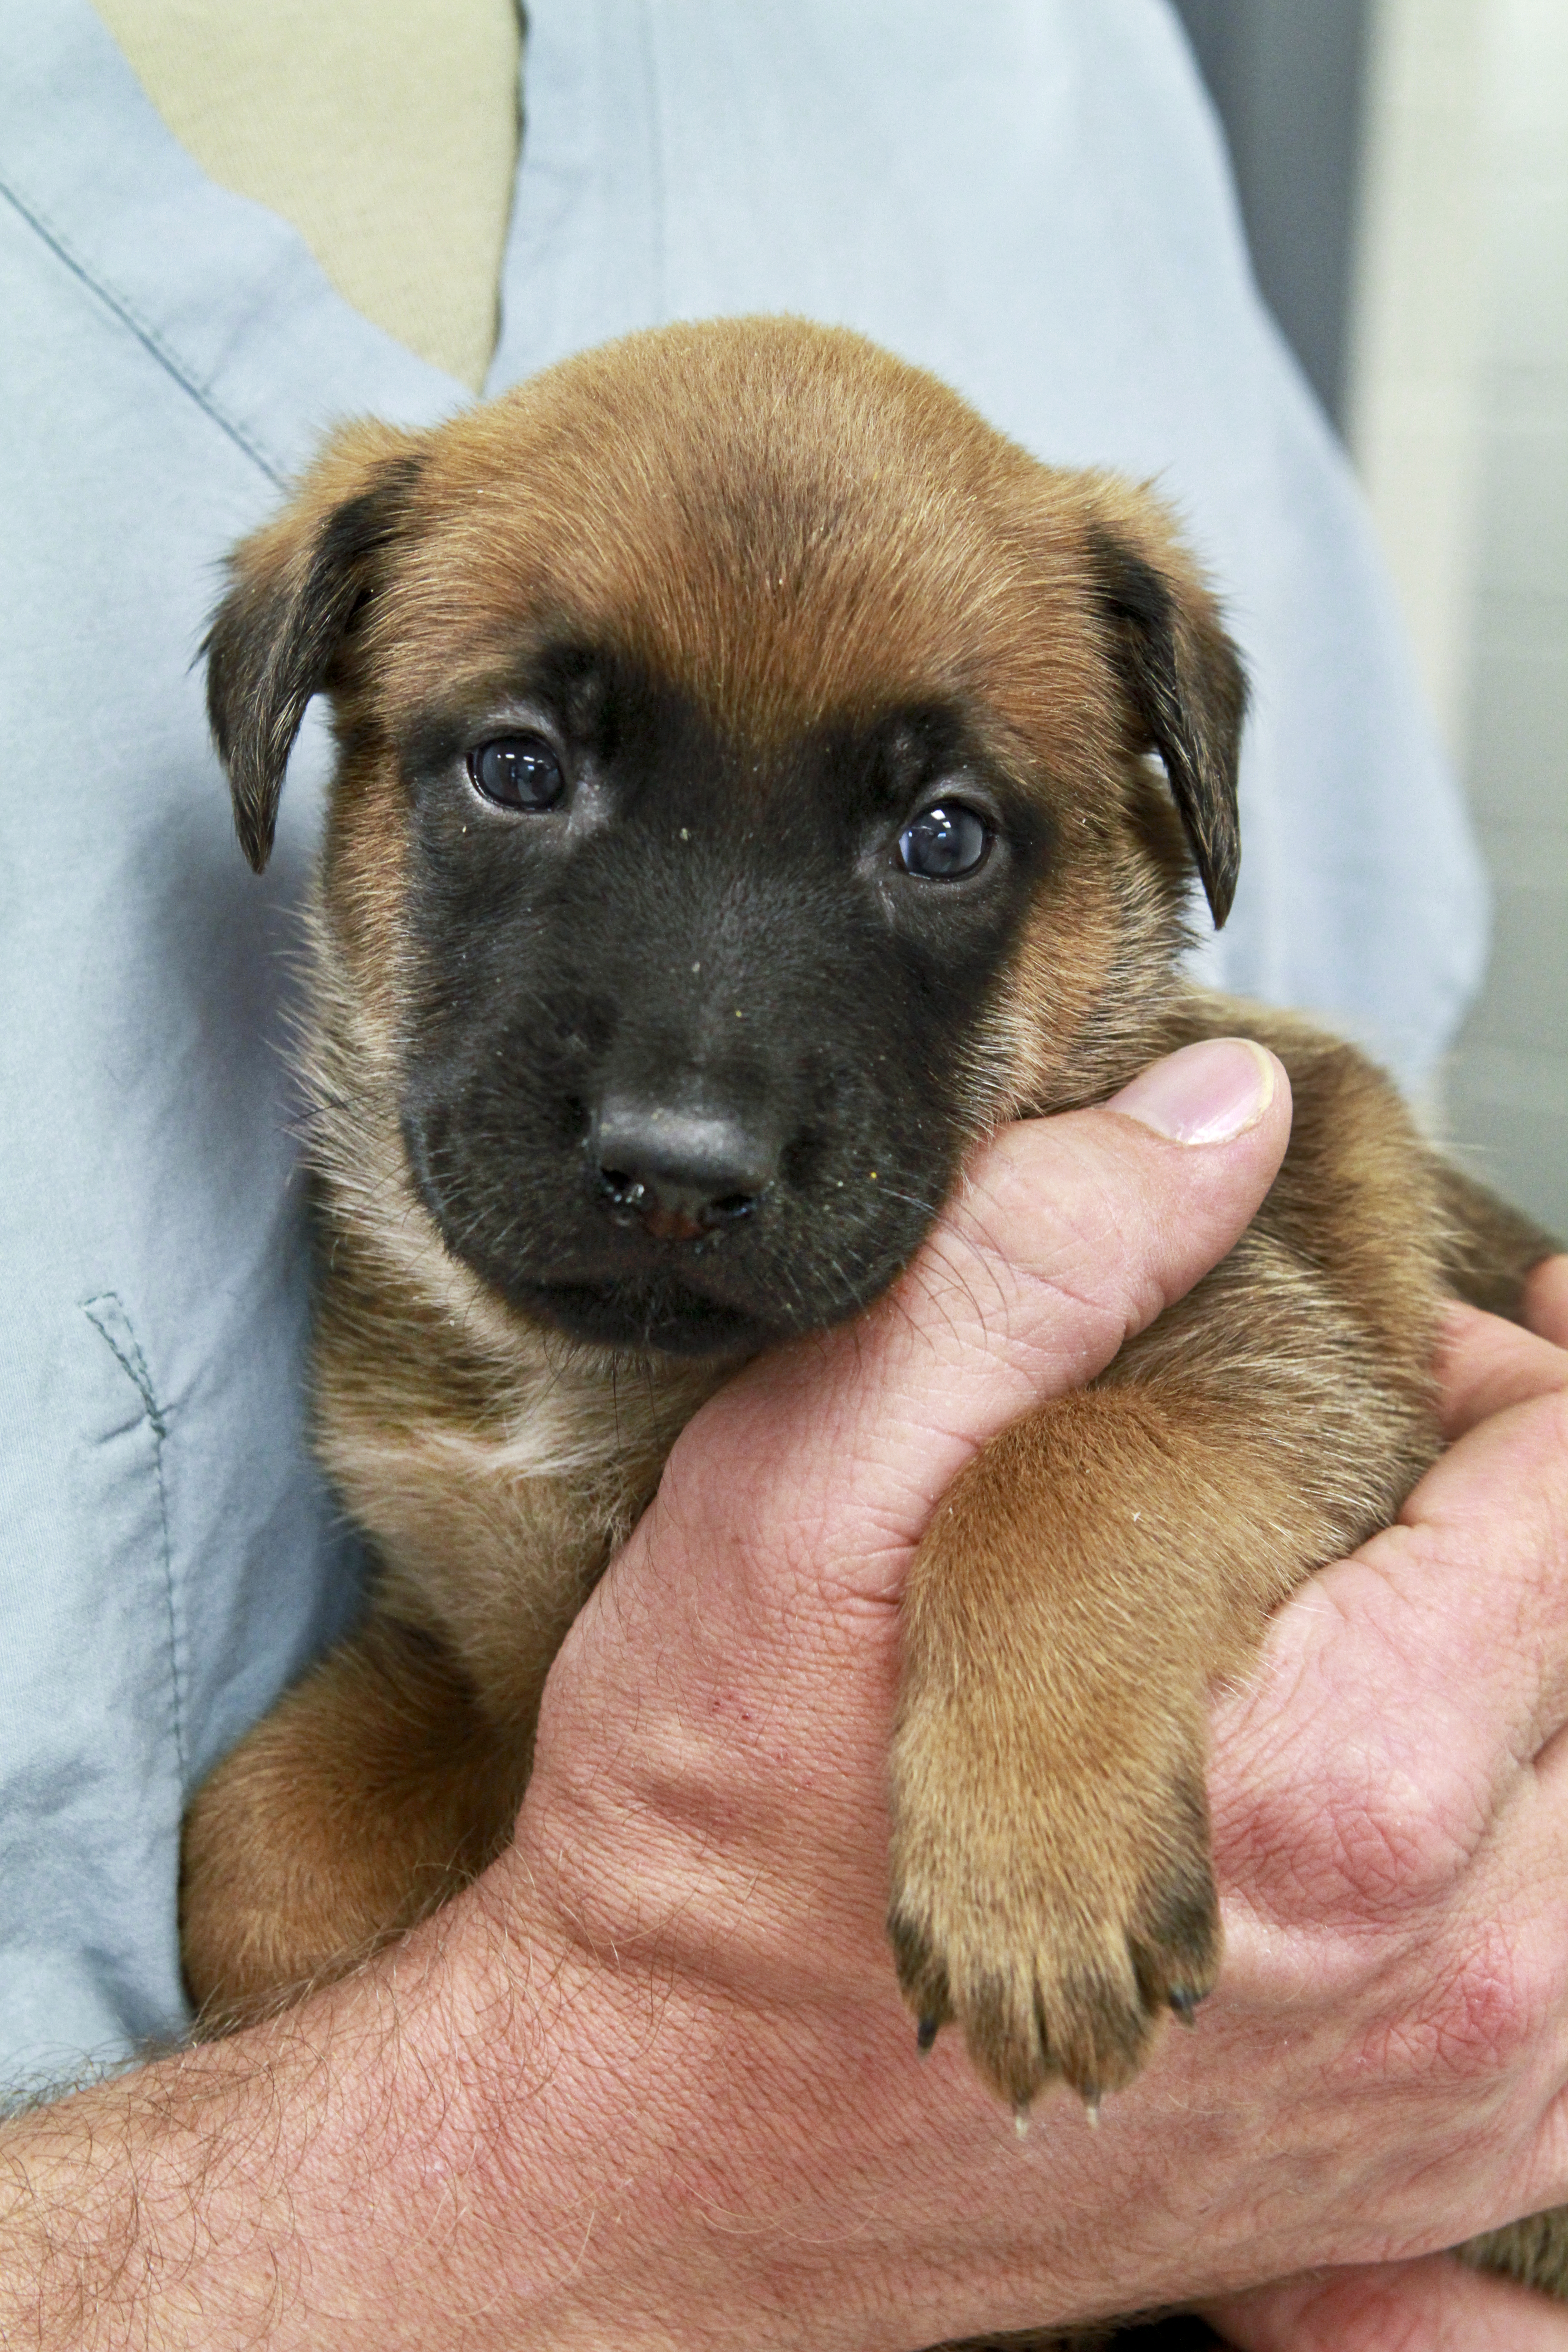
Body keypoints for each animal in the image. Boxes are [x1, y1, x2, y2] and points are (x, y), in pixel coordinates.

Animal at [184, 317, 1561, 2314]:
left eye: (941, 838)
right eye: (519, 769)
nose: (677, 1170)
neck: (610, 1387)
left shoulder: (1300, 1365)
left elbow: (1076, 1459)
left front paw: (1032, 1866)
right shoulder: (465, 1625)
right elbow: (260, 1838)